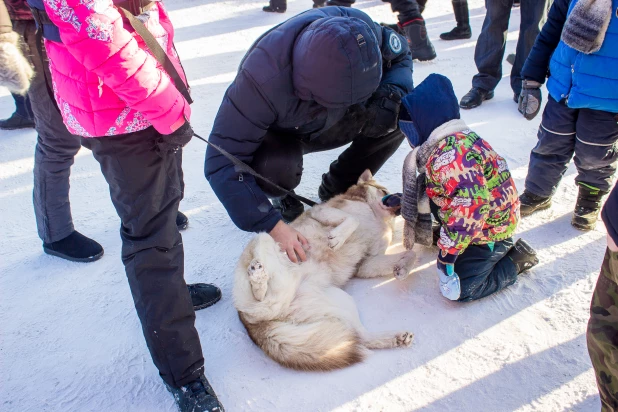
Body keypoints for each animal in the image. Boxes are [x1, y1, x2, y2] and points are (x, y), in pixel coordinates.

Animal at [231, 169, 414, 372]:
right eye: (384, 191)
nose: (402, 196)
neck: (376, 217)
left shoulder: (367, 263)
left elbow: (410, 254)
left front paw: (403, 269)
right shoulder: (322, 211)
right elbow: (354, 220)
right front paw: (338, 237)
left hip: (343, 303)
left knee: (362, 337)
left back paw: (395, 338)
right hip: (262, 239)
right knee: (258, 303)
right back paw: (258, 278)